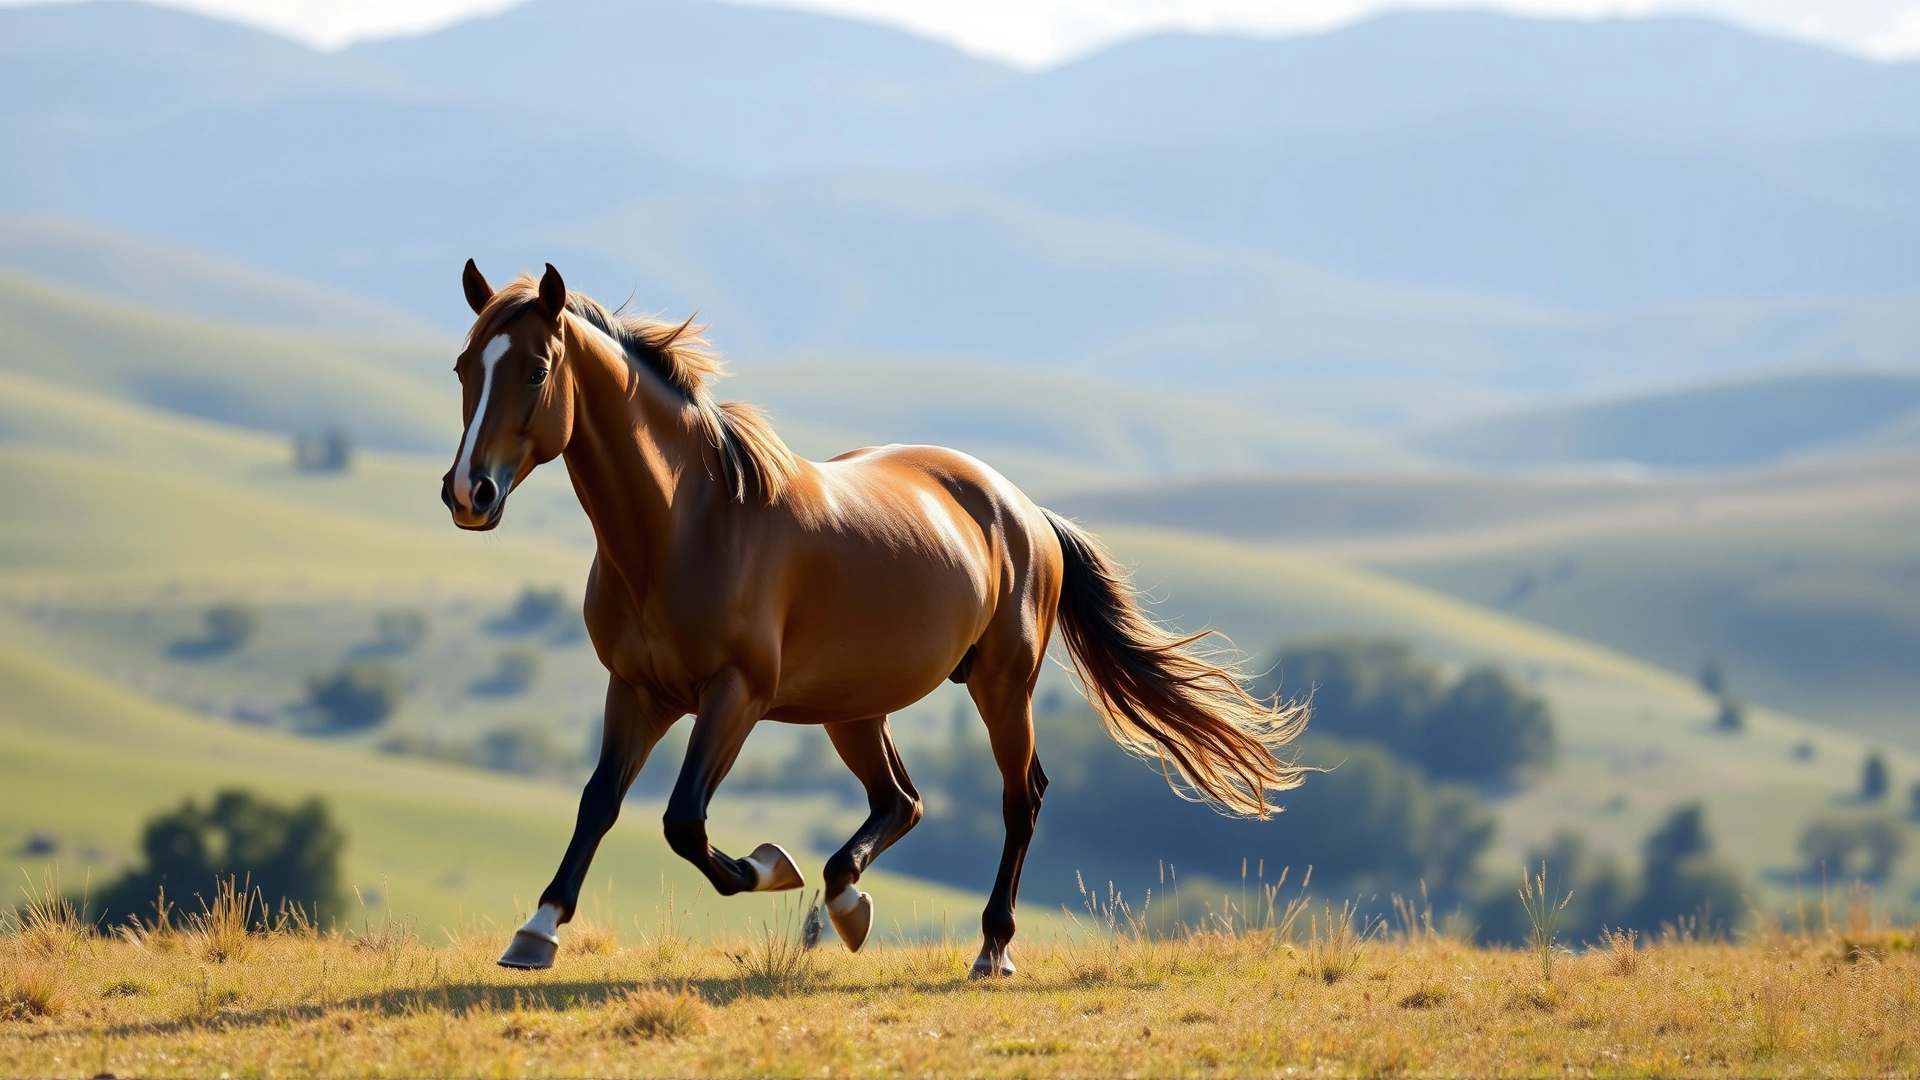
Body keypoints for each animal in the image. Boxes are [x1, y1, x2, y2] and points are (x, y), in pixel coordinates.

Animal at [442, 261, 1308, 977]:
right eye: (463, 367)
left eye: (535, 369)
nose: (467, 494)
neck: (686, 526)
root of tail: (1026, 509)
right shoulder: (636, 689)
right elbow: (600, 801)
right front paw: (536, 932)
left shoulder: (736, 694)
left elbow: (685, 820)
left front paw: (769, 866)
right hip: (853, 708)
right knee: (903, 800)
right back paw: (847, 899)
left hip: (1000, 687)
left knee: (1019, 796)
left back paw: (989, 947)